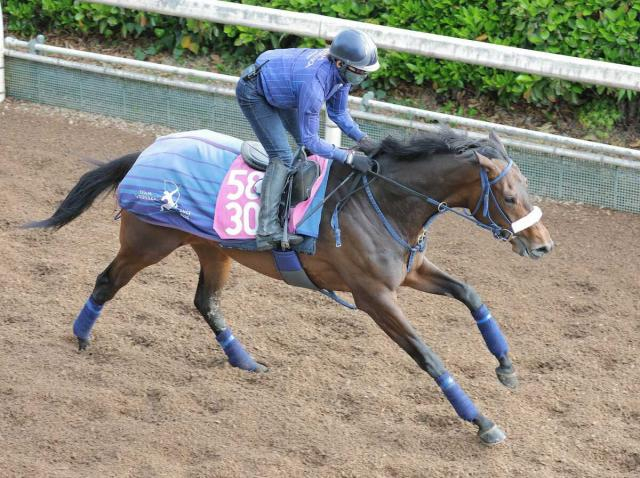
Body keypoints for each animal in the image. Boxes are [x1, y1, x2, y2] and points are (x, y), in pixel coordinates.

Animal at [27, 127, 554, 445]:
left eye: (529, 188)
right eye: (509, 196)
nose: (544, 246)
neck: (382, 201)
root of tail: (148, 151)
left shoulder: (411, 272)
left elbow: (471, 294)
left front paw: (506, 367)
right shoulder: (373, 296)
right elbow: (428, 355)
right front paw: (482, 421)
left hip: (214, 250)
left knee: (205, 302)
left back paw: (245, 361)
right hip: (148, 242)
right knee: (107, 282)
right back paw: (80, 337)